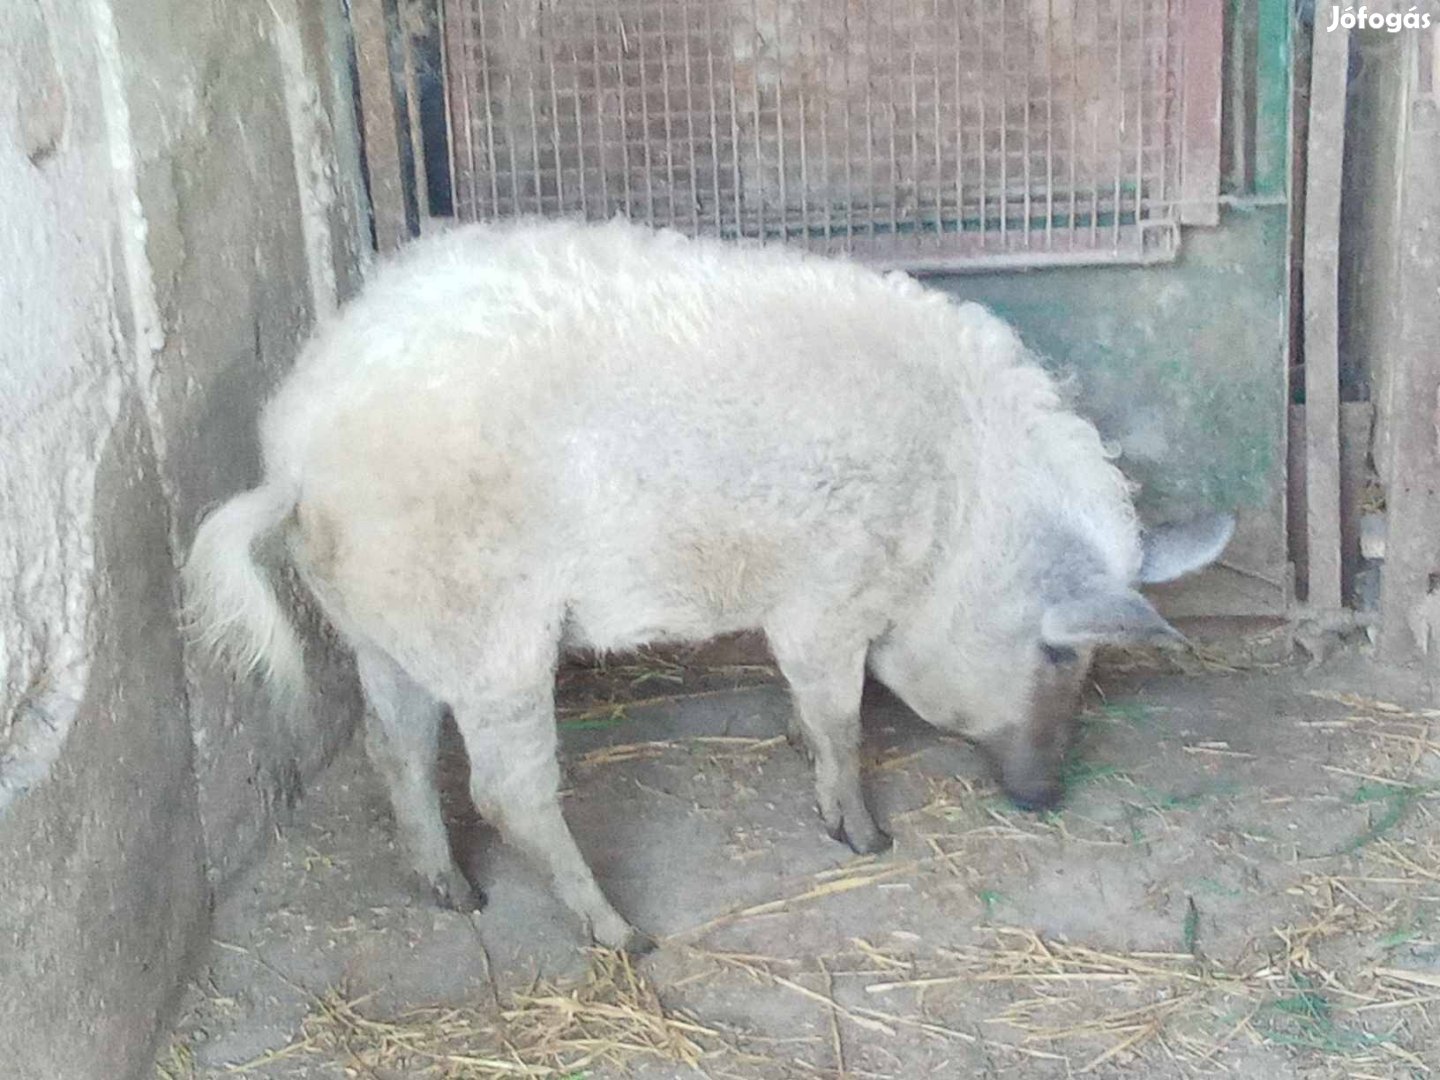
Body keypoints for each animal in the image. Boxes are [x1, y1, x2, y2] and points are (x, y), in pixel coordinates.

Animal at [185, 217, 1232, 944]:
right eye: (1062, 655)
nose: (1048, 795)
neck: (962, 510)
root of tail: (297, 455)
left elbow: (814, 709)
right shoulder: (825, 594)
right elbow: (841, 715)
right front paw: (865, 838)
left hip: (380, 627)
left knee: (394, 747)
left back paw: (457, 897)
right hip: (491, 630)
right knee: (504, 790)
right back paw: (625, 937)